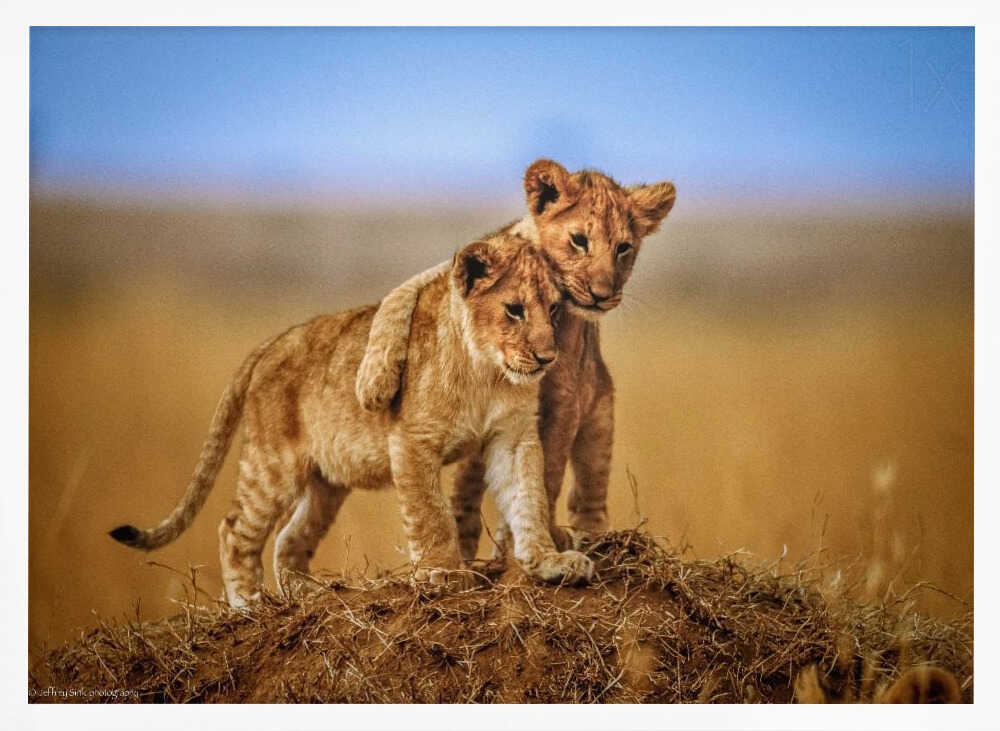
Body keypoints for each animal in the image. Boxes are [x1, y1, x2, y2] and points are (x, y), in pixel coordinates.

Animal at [109, 235, 594, 606]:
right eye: (514, 309)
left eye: (554, 310)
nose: (547, 357)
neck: (487, 372)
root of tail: (272, 342)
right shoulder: (412, 440)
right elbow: (431, 514)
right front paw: (443, 573)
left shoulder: (513, 437)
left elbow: (529, 498)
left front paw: (549, 563)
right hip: (273, 465)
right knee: (235, 530)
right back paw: (249, 604)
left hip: (327, 482)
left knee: (289, 538)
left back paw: (307, 594)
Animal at [354, 159, 676, 558]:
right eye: (579, 240)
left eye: (623, 248)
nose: (602, 294)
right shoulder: (456, 270)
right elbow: (399, 297)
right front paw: (374, 382)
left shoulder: (565, 398)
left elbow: (547, 474)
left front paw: (534, 541)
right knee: (465, 493)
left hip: (599, 419)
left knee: (588, 493)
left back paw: (590, 538)